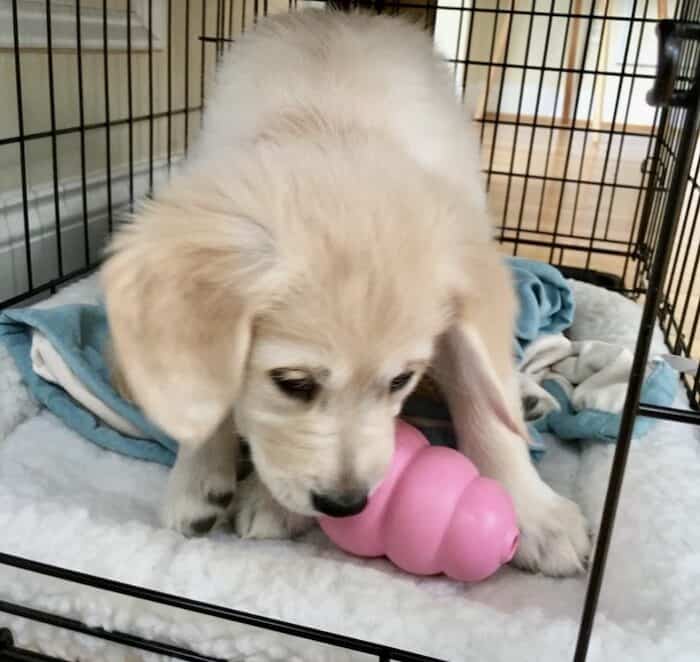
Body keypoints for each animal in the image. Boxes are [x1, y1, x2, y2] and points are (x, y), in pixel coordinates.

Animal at [101, 9, 588, 576]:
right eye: (291, 383)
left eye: (400, 380)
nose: (345, 504)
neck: (329, 126)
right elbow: (202, 389)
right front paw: (199, 478)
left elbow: (482, 395)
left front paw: (535, 514)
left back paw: (527, 397)